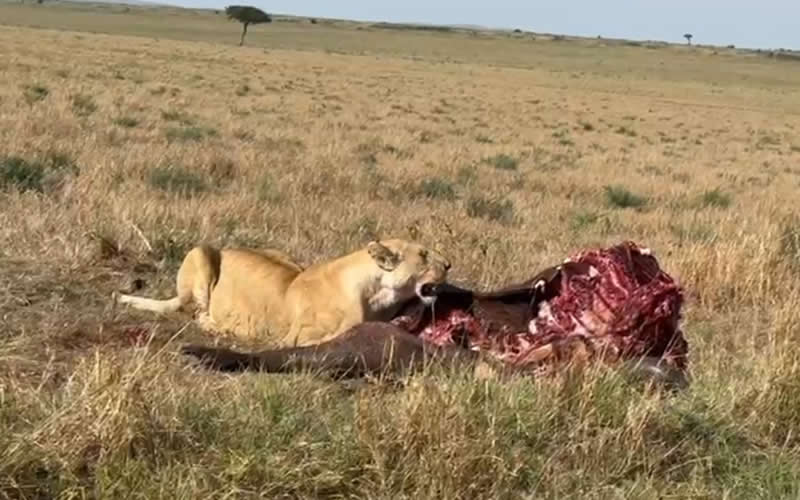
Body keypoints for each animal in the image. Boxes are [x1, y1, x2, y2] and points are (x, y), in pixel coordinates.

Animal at [113, 239, 451, 347]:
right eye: (423, 255)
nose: (449, 264)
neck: (376, 293)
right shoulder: (296, 336)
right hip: (202, 252)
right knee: (196, 312)